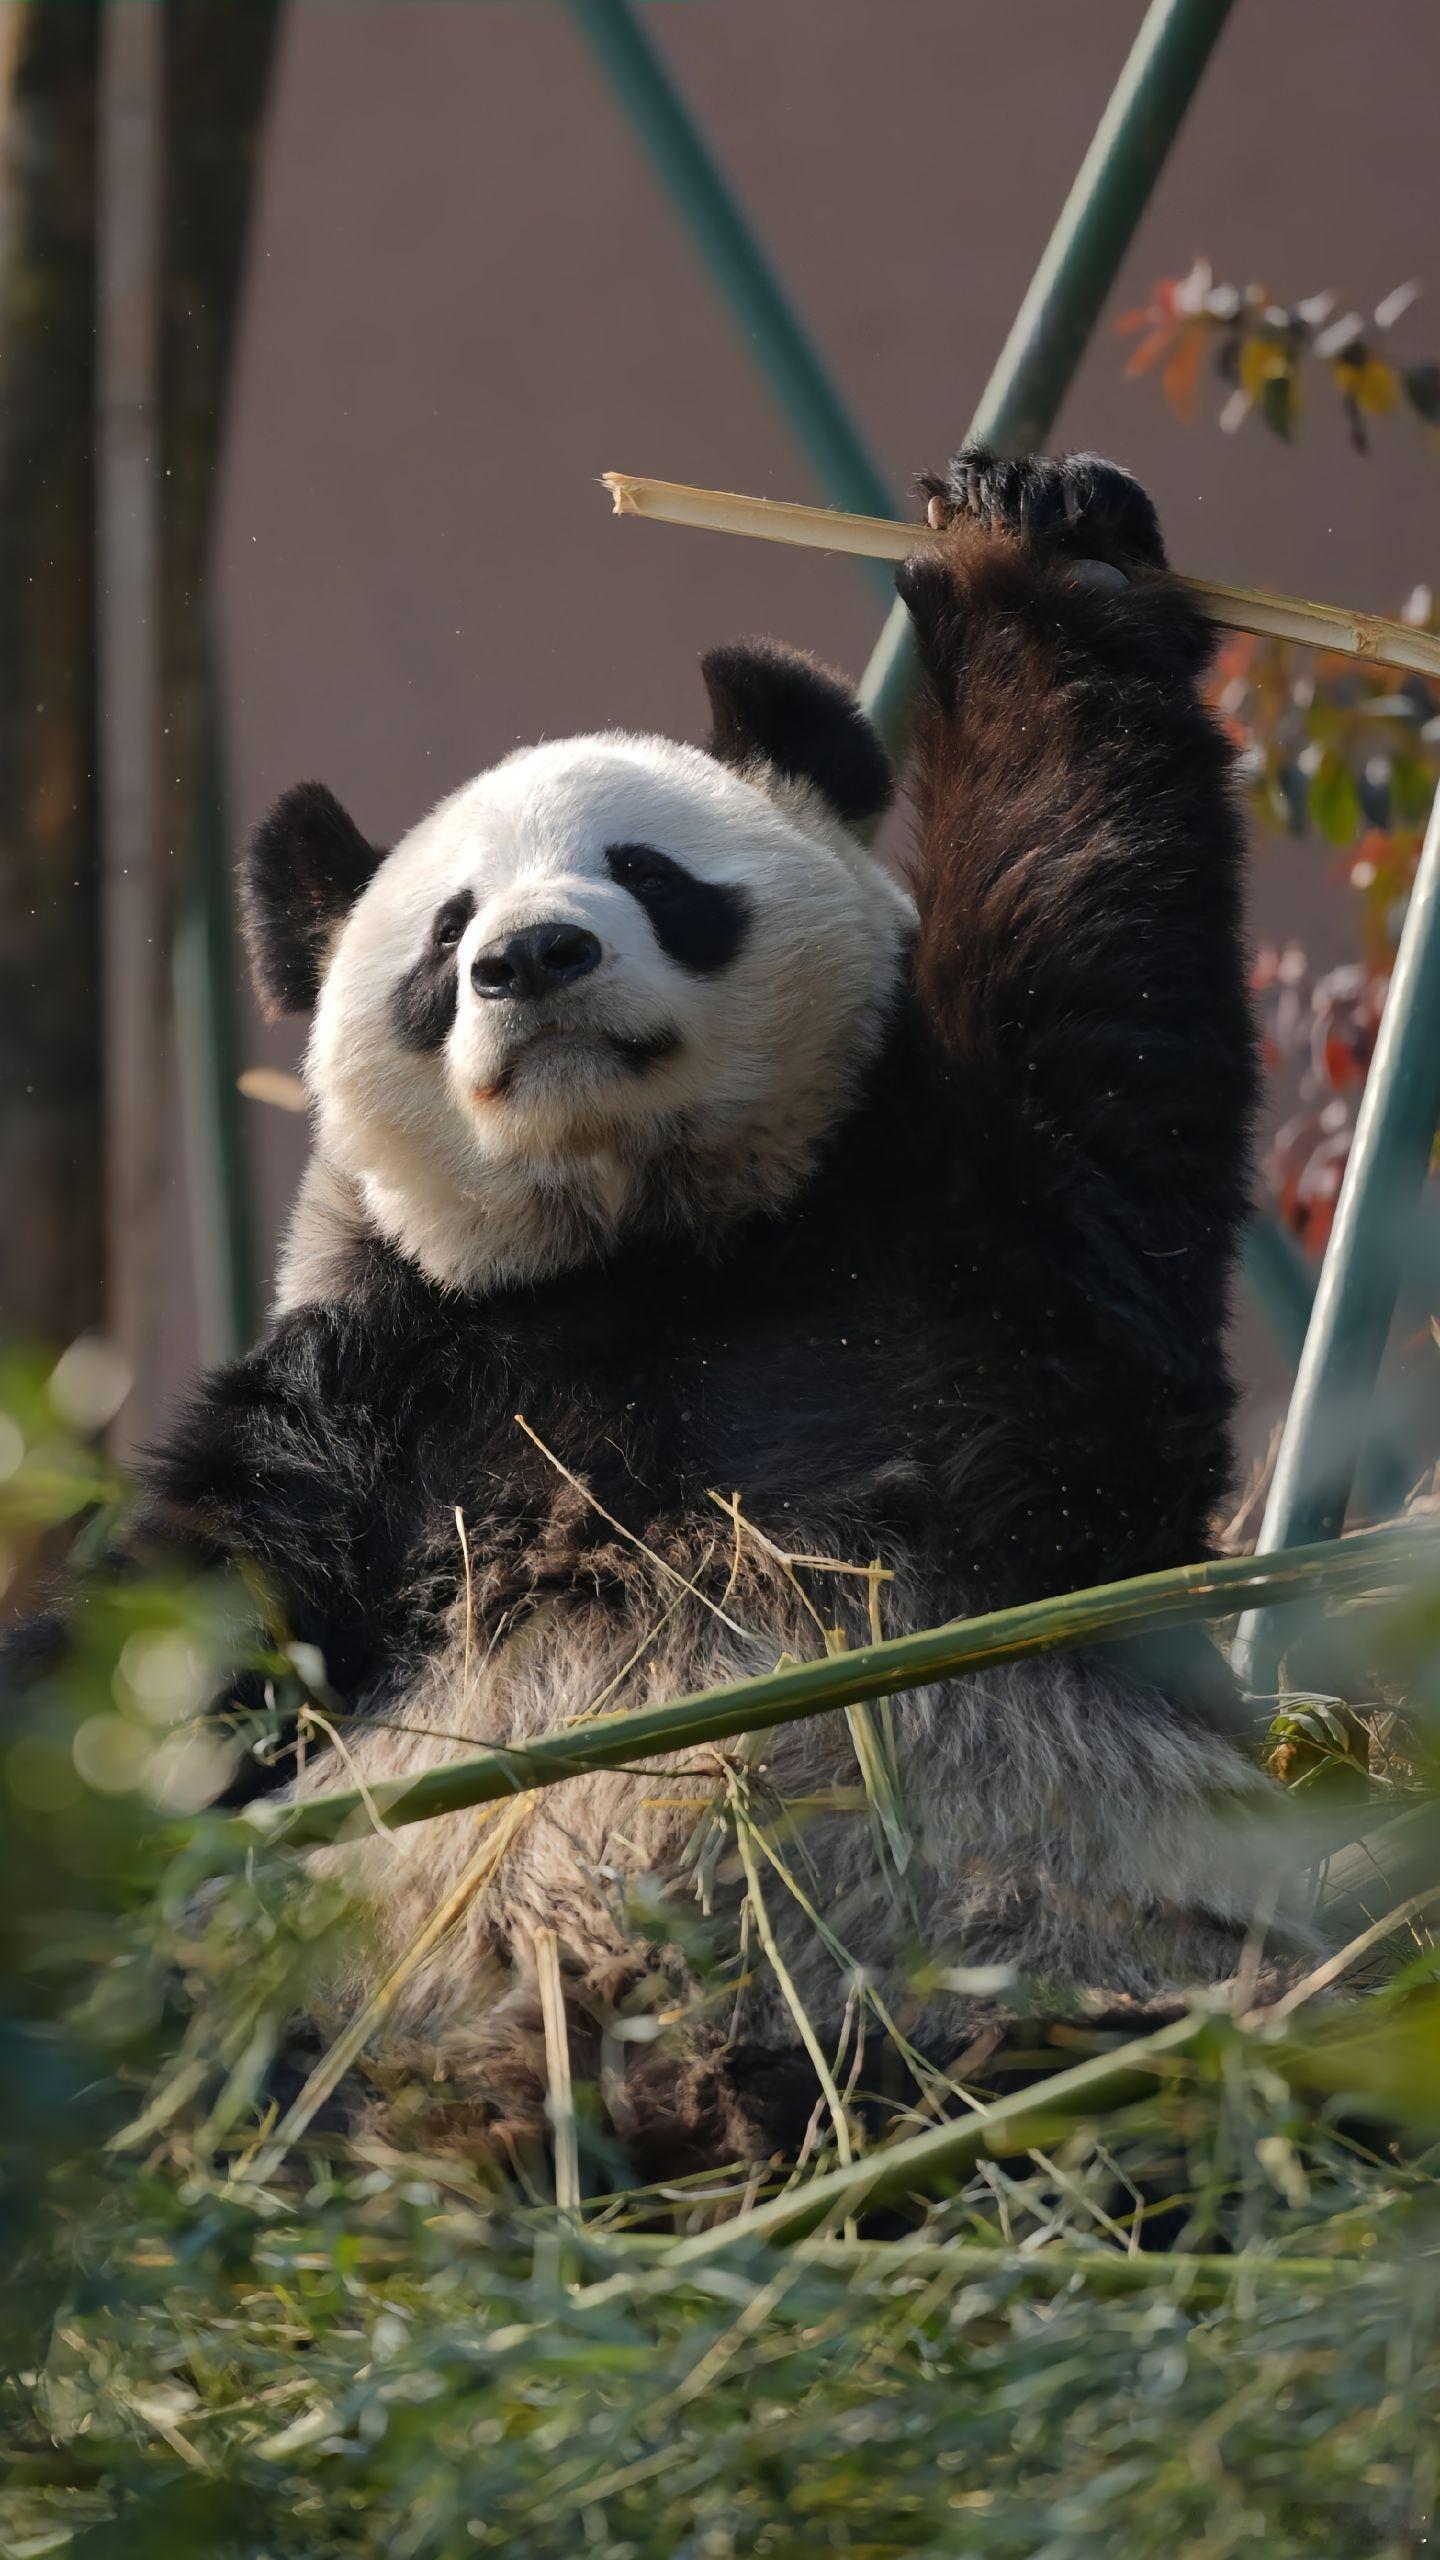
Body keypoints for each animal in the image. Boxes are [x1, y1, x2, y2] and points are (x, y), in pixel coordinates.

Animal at [131, 455, 1276, 2160]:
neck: (642, 1254)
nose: (532, 958)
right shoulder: (370, 1391)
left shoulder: (966, 1267)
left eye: (650, 875)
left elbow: (1090, 967)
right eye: (443, 933)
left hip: (1085, 1963)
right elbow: (194, 1627)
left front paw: (1027, 545)